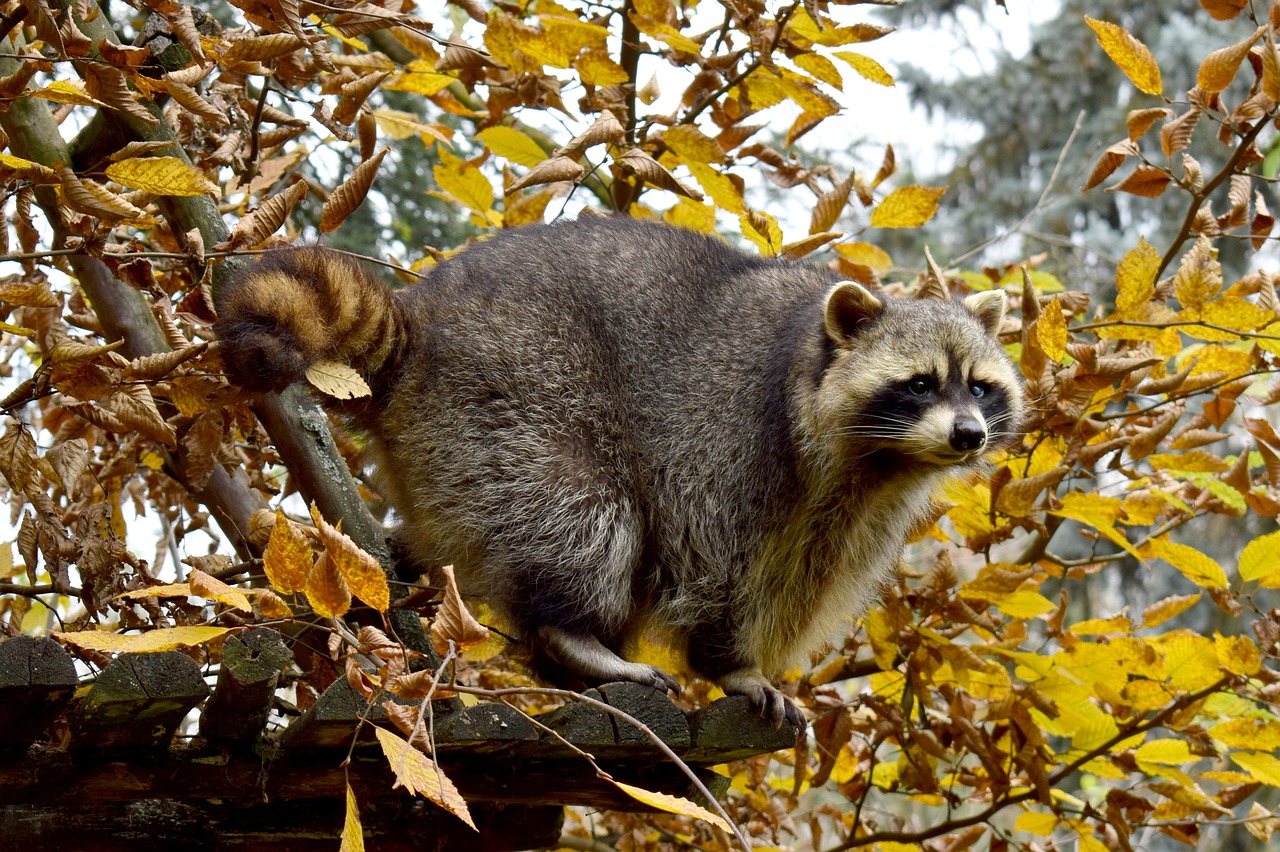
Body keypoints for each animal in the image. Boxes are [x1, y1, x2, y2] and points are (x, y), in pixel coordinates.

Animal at [215, 217, 1024, 721]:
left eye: (981, 387)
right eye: (919, 384)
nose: (968, 435)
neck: (876, 459)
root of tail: (422, 323)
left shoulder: (859, 510)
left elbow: (807, 573)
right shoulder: (730, 437)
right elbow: (721, 564)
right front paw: (732, 663)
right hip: (513, 391)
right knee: (580, 514)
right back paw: (576, 631)